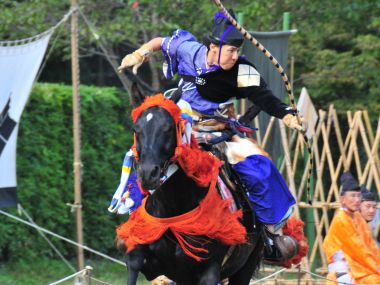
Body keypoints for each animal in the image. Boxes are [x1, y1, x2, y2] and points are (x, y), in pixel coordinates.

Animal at [118, 86, 264, 284]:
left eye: (169, 128)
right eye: (136, 129)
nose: (148, 173)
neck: (173, 208)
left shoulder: (210, 270)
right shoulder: (142, 258)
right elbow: (134, 263)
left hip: (246, 264)